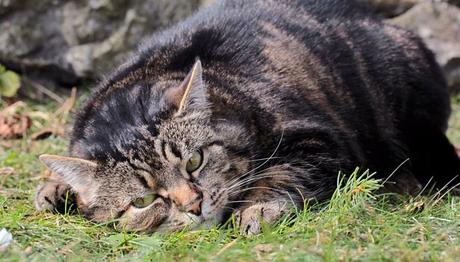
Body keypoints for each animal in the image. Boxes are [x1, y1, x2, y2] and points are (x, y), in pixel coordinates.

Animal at [35, 0, 460, 234]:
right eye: (143, 201)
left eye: (195, 161)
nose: (194, 205)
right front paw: (56, 188)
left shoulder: (319, 139)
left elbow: (282, 174)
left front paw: (258, 209)